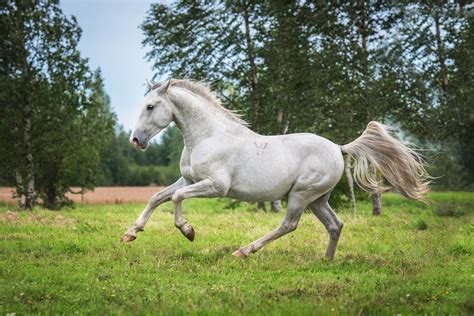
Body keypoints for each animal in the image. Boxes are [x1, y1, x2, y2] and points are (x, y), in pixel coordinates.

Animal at [119, 79, 430, 260]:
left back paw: (244, 251)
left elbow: (175, 198)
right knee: (335, 224)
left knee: (289, 224)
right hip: (318, 199)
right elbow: (157, 197)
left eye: (150, 106)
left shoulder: (215, 186)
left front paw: (188, 231)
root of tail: (338, 148)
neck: (208, 136)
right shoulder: (188, 179)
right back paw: (326, 261)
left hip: (302, 195)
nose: (135, 140)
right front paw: (130, 234)